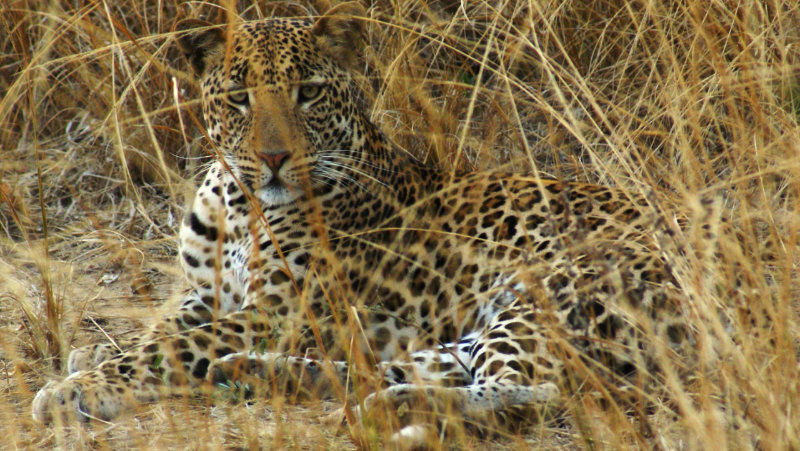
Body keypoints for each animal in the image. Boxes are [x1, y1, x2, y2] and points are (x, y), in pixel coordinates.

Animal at [32, 2, 700, 442]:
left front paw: (78, 387)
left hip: (550, 291)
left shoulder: (284, 311)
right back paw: (267, 376)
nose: (275, 158)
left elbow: (165, 348)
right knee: (423, 364)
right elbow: (162, 329)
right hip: (483, 321)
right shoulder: (211, 296)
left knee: (532, 393)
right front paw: (89, 354)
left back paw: (396, 411)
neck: (238, 202)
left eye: (307, 92)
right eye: (239, 97)